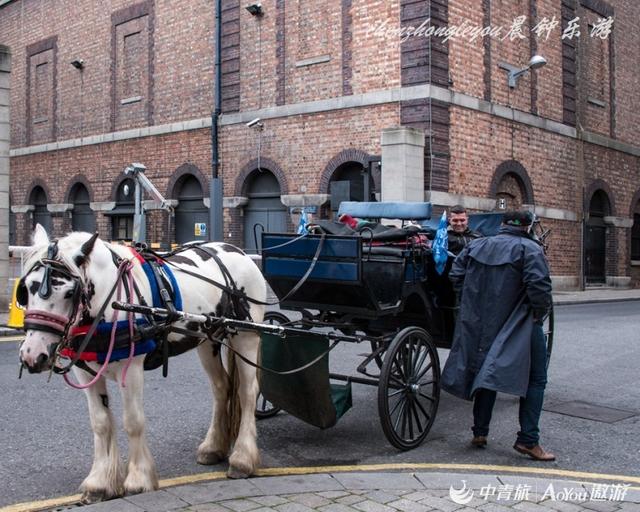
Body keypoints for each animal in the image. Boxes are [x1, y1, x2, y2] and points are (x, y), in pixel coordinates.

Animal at [17, 225, 266, 504]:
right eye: (26, 289)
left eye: (70, 293)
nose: (32, 355)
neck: (111, 298)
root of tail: (238, 251)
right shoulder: (85, 371)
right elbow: (100, 422)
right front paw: (100, 483)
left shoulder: (132, 368)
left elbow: (133, 421)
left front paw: (138, 479)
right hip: (206, 340)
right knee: (221, 388)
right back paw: (213, 447)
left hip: (245, 336)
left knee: (247, 393)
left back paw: (242, 459)